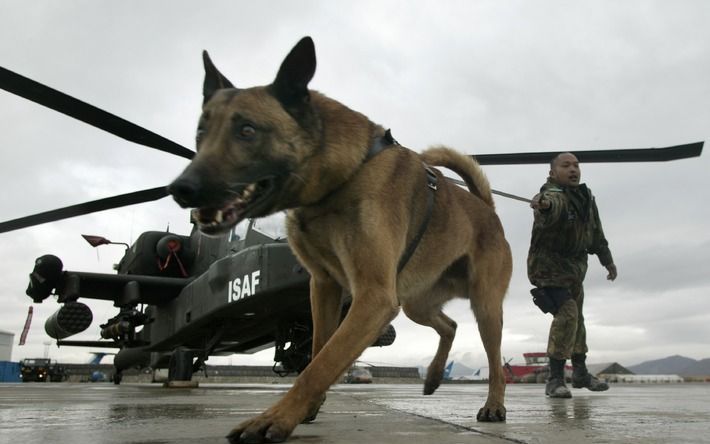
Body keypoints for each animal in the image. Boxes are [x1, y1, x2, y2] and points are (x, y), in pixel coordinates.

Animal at [168, 36, 512, 442]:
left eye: (247, 131)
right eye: (200, 134)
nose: (180, 190)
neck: (341, 177)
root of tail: (485, 207)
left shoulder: (373, 297)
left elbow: (322, 363)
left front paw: (275, 418)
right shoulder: (324, 287)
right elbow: (318, 353)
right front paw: (305, 408)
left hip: (485, 307)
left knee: (495, 362)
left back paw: (493, 405)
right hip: (415, 302)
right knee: (450, 326)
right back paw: (431, 377)